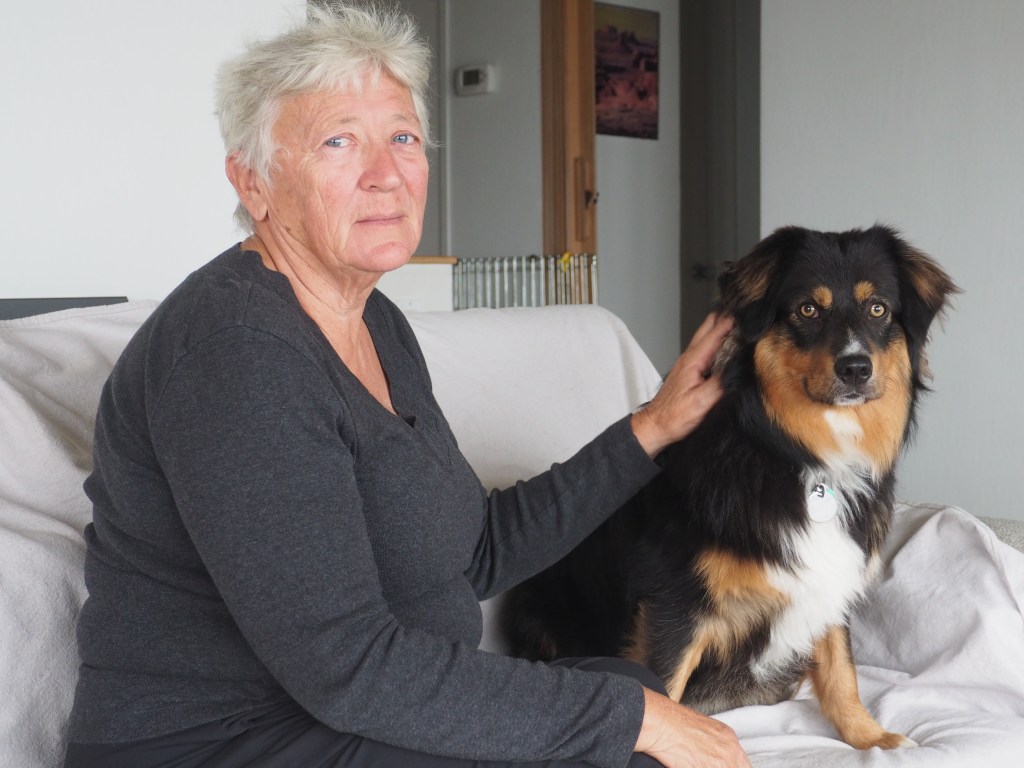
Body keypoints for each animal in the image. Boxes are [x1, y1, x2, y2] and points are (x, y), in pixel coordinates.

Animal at [501, 225, 958, 750]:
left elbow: (842, 669)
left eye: (878, 309)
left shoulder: (833, 576)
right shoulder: (676, 603)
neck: (799, 456)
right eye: (807, 309)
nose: (856, 368)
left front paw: (872, 739)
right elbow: (664, 692)